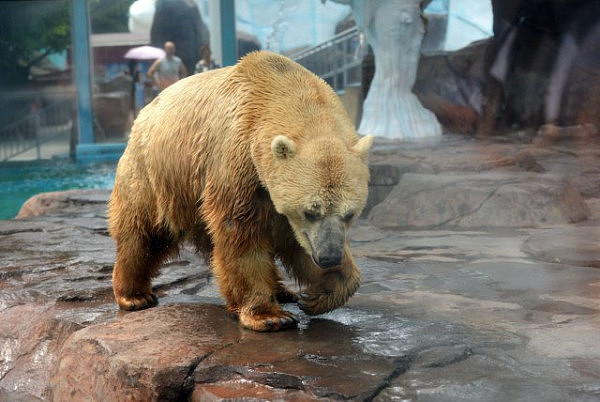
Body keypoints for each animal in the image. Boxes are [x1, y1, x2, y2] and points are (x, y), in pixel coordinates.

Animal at [106, 50, 370, 332]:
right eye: (310, 211)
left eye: (350, 214)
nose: (329, 257)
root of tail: (144, 111)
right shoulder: (238, 159)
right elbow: (240, 230)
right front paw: (269, 316)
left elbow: (296, 242)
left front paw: (321, 293)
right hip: (155, 173)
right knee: (144, 232)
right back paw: (134, 295)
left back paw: (282, 290)